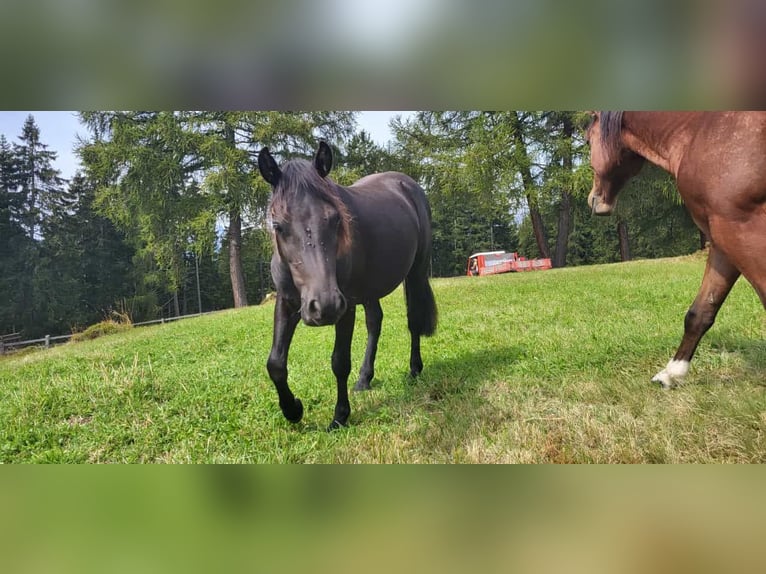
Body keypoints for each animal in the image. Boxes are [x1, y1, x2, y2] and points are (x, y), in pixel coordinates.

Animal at [258, 142, 438, 430]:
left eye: (335, 219)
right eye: (278, 225)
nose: (325, 306)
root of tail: (407, 184)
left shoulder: (346, 306)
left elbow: (339, 361)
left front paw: (340, 415)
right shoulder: (286, 304)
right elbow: (275, 363)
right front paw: (293, 410)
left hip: (415, 273)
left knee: (413, 320)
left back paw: (414, 369)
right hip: (370, 289)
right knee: (375, 322)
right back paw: (364, 379)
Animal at [588, 112, 766, 390]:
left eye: (587, 141)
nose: (593, 199)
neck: (698, 133)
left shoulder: (739, 229)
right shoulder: (722, 239)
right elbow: (700, 312)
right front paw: (671, 374)